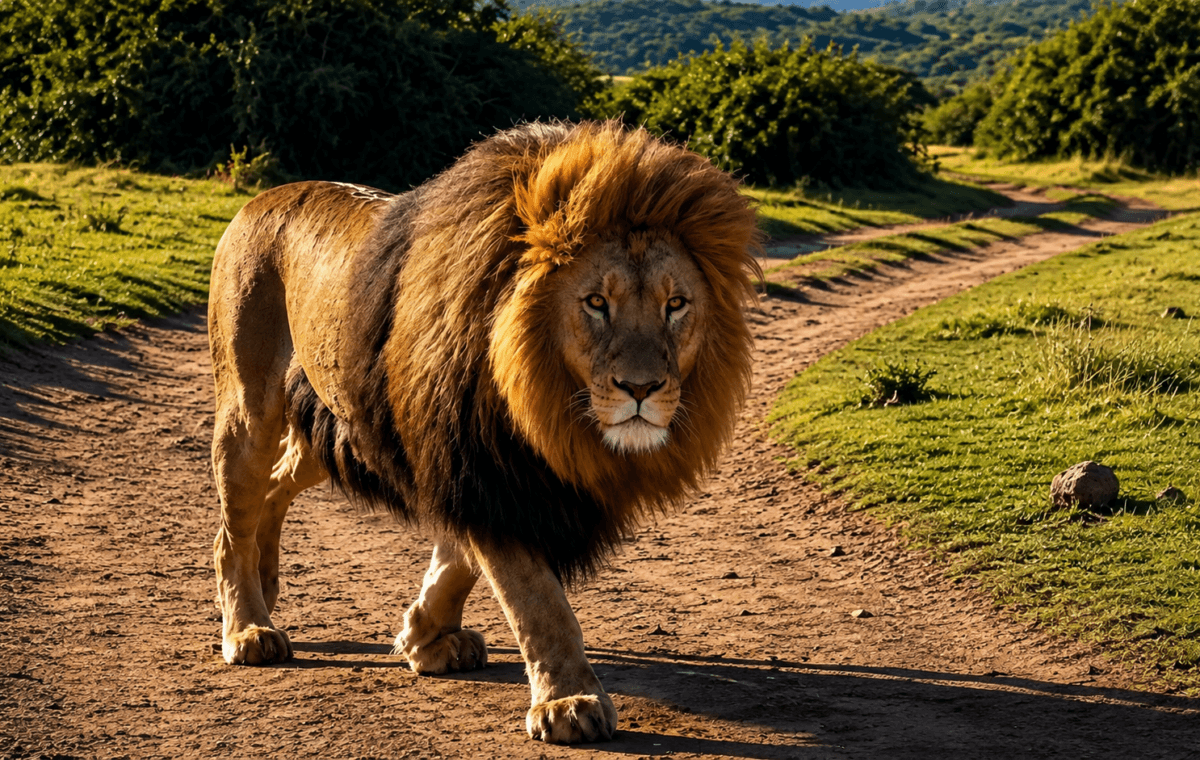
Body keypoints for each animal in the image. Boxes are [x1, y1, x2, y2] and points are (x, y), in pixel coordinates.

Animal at [207, 121, 761, 743]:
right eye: (597, 303)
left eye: (676, 305)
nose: (640, 389)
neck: (547, 409)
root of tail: (258, 200)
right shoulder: (480, 466)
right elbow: (537, 600)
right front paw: (568, 701)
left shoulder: (481, 471)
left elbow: (459, 562)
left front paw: (424, 637)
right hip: (249, 407)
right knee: (232, 524)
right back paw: (248, 626)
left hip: (342, 429)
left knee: (275, 487)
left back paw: (267, 580)